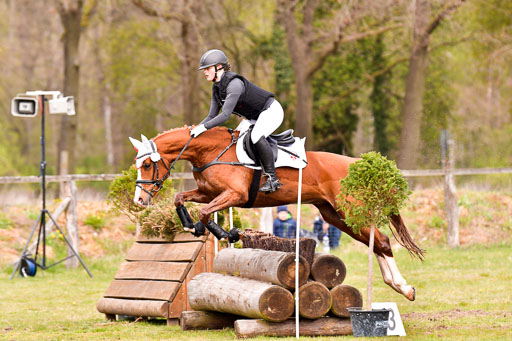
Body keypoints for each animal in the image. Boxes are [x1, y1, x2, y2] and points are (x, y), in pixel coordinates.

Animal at [131, 125, 424, 300]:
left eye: (146, 164)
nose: (140, 200)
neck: (211, 151)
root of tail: (357, 165)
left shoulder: (233, 195)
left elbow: (205, 212)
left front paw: (227, 233)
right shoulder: (209, 192)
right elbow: (181, 199)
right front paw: (191, 226)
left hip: (348, 209)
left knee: (381, 241)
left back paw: (403, 286)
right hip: (335, 215)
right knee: (374, 242)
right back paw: (397, 285)